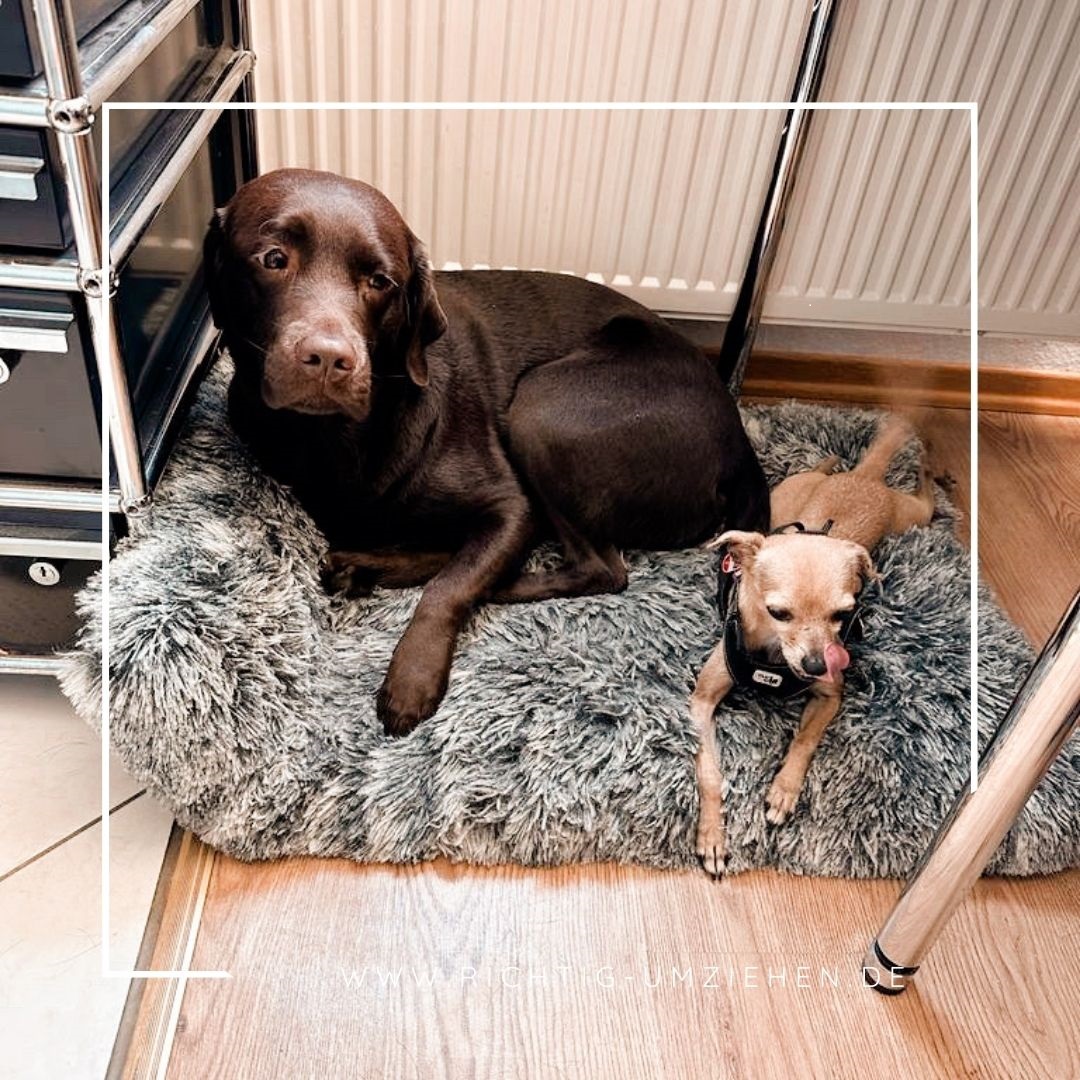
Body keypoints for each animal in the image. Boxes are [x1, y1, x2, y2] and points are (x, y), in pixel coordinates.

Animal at [691, 414, 937, 876]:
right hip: (781, 503)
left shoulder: (830, 697)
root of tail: (863, 478)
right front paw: (712, 834)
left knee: (926, 498)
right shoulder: (701, 703)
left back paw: (927, 469)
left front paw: (785, 790)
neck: (772, 658)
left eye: (843, 614)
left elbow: (805, 740)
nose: (818, 665)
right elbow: (709, 770)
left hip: (911, 517)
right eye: (778, 612)